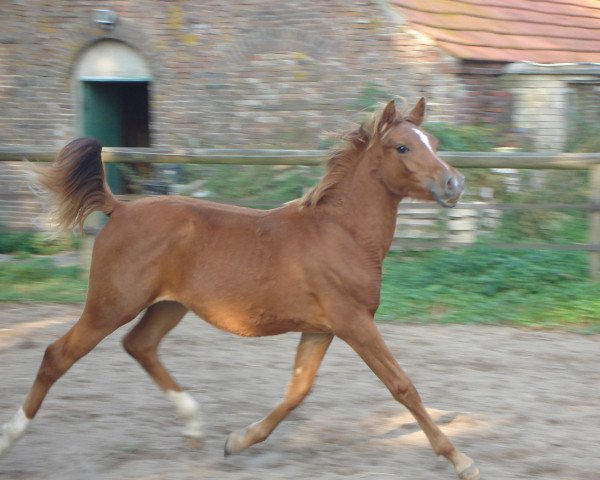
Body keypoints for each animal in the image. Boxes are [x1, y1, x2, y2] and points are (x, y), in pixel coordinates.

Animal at [0, 99, 478, 478]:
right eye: (403, 147)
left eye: (433, 141)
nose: (454, 183)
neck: (341, 232)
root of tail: (119, 209)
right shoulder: (354, 323)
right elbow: (402, 386)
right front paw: (460, 460)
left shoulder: (320, 328)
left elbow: (297, 392)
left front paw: (237, 440)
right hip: (111, 304)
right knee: (57, 355)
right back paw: (11, 436)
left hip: (168, 306)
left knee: (140, 345)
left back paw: (194, 425)